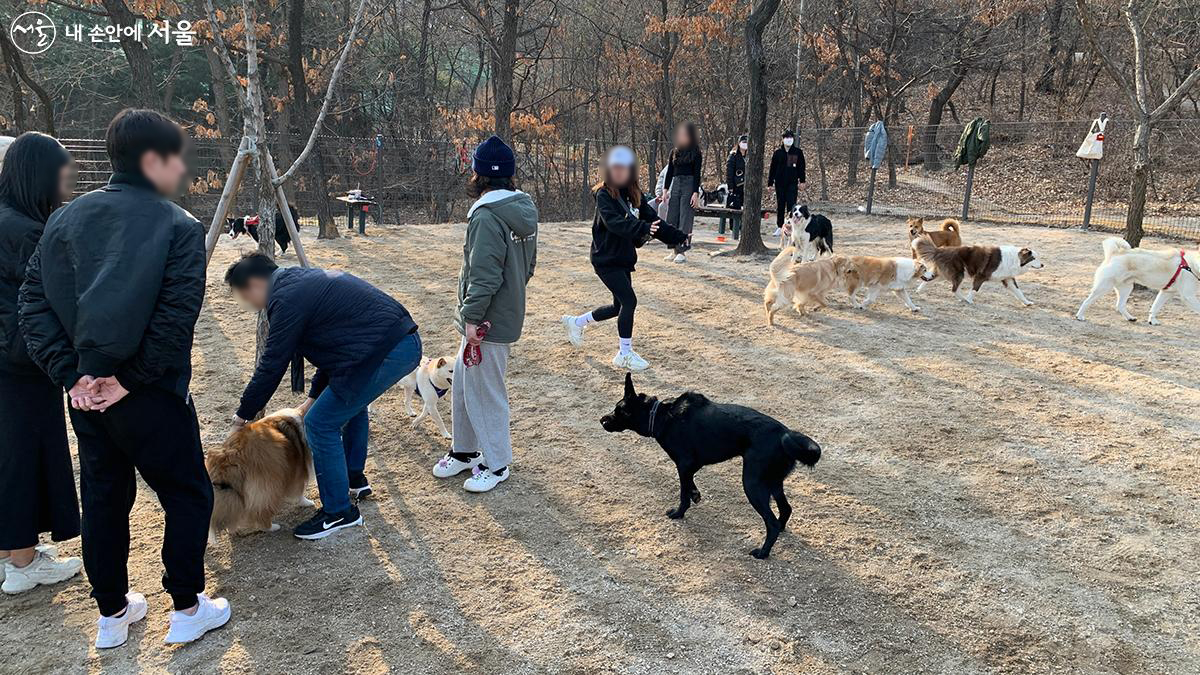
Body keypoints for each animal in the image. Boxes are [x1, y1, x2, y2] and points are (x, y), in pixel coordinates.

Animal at [210, 403, 314, 540]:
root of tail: (230, 455)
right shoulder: (298, 472)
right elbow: (299, 493)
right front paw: (307, 503)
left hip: (232, 493)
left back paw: (233, 530)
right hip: (270, 482)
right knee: (260, 511)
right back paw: (271, 527)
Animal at [600, 372, 825, 557]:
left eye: (618, 410)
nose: (602, 420)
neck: (661, 415)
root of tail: (784, 434)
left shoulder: (684, 463)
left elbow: (683, 493)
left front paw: (679, 513)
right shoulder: (691, 465)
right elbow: (690, 485)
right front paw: (695, 494)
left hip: (753, 483)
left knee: (772, 523)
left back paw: (763, 552)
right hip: (773, 481)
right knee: (785, 509)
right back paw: (782, 530)